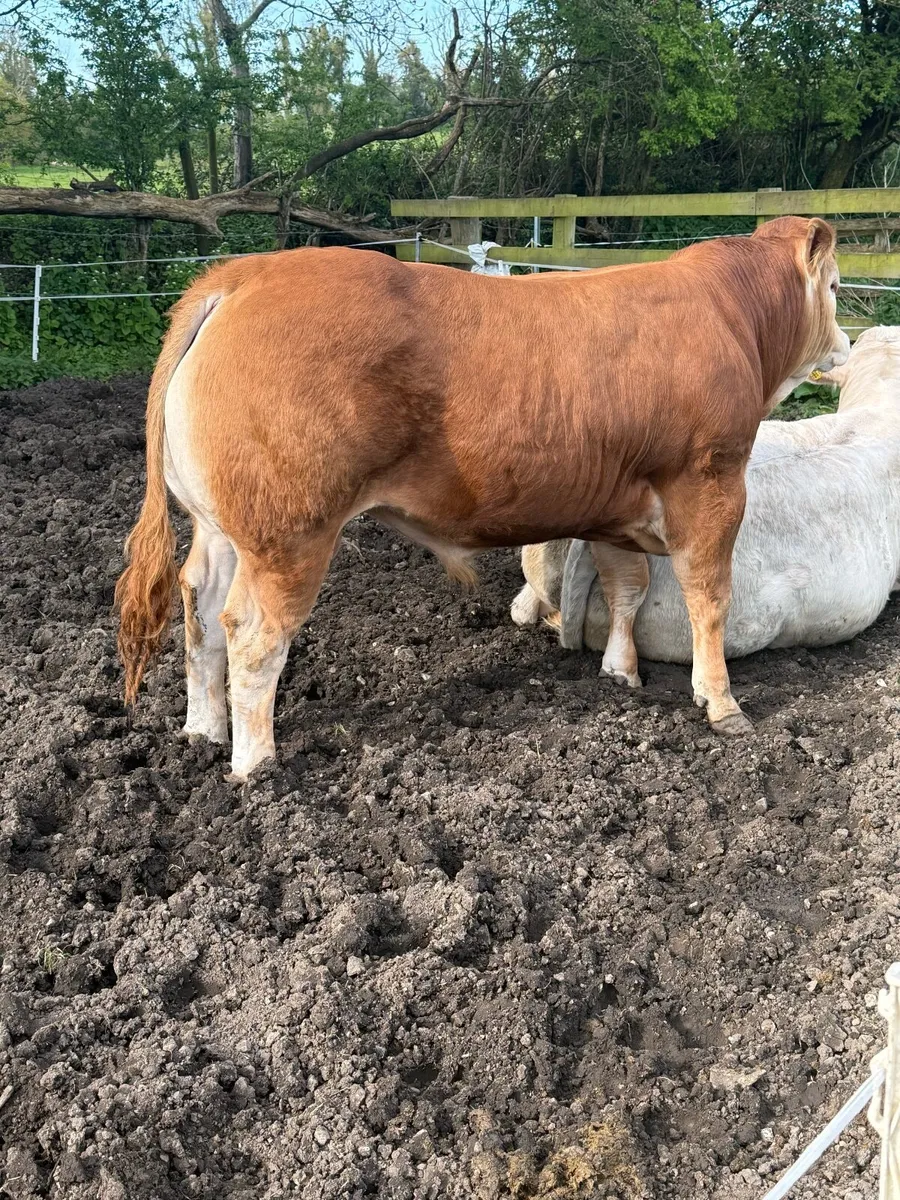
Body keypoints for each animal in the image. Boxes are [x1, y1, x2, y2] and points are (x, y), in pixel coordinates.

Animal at [116, 217, 848, 780]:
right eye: (838, 286)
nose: (844, 343)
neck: (731, 317)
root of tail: (242, 276)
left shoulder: (614, 502)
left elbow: (628, 589)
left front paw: (621, 672)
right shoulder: (711, 481)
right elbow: (709, 596)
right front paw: (722, 704)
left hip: (221, 529)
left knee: (199, 607)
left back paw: (202, 732)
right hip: (289, 534)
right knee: (253, 634)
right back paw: (255, 763)